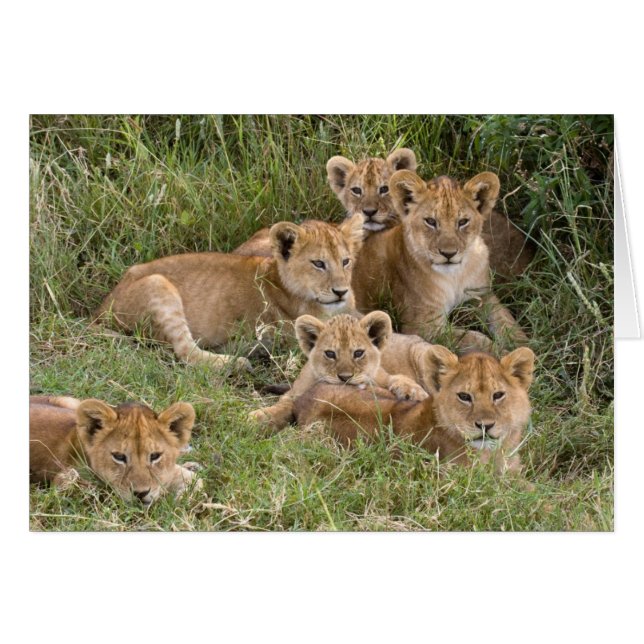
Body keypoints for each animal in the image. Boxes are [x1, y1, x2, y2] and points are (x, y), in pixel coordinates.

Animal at [95, 217, 364, 369]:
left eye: (346, 261)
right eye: (318, 263)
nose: (341, 291)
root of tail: (101, 308)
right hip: (157, 284)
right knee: (187, 353)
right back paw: (237, 362)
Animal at [248, 311, 427, 431]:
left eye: (358, 353)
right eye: (330, 354)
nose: (345, 377)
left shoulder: (382, 375)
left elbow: (397, 378)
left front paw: (414, 392)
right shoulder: (294, 393)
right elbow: (281, 406)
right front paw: (257, 417)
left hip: (421, 352)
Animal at [351, 170, 528, 349]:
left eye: (462, 222)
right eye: (431, 221)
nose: (448, 254)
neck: (456, 276)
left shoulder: (483, 294)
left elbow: (507, 321)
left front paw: (524, 344)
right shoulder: (423, 327)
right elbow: (472, 337)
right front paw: (500, 351)